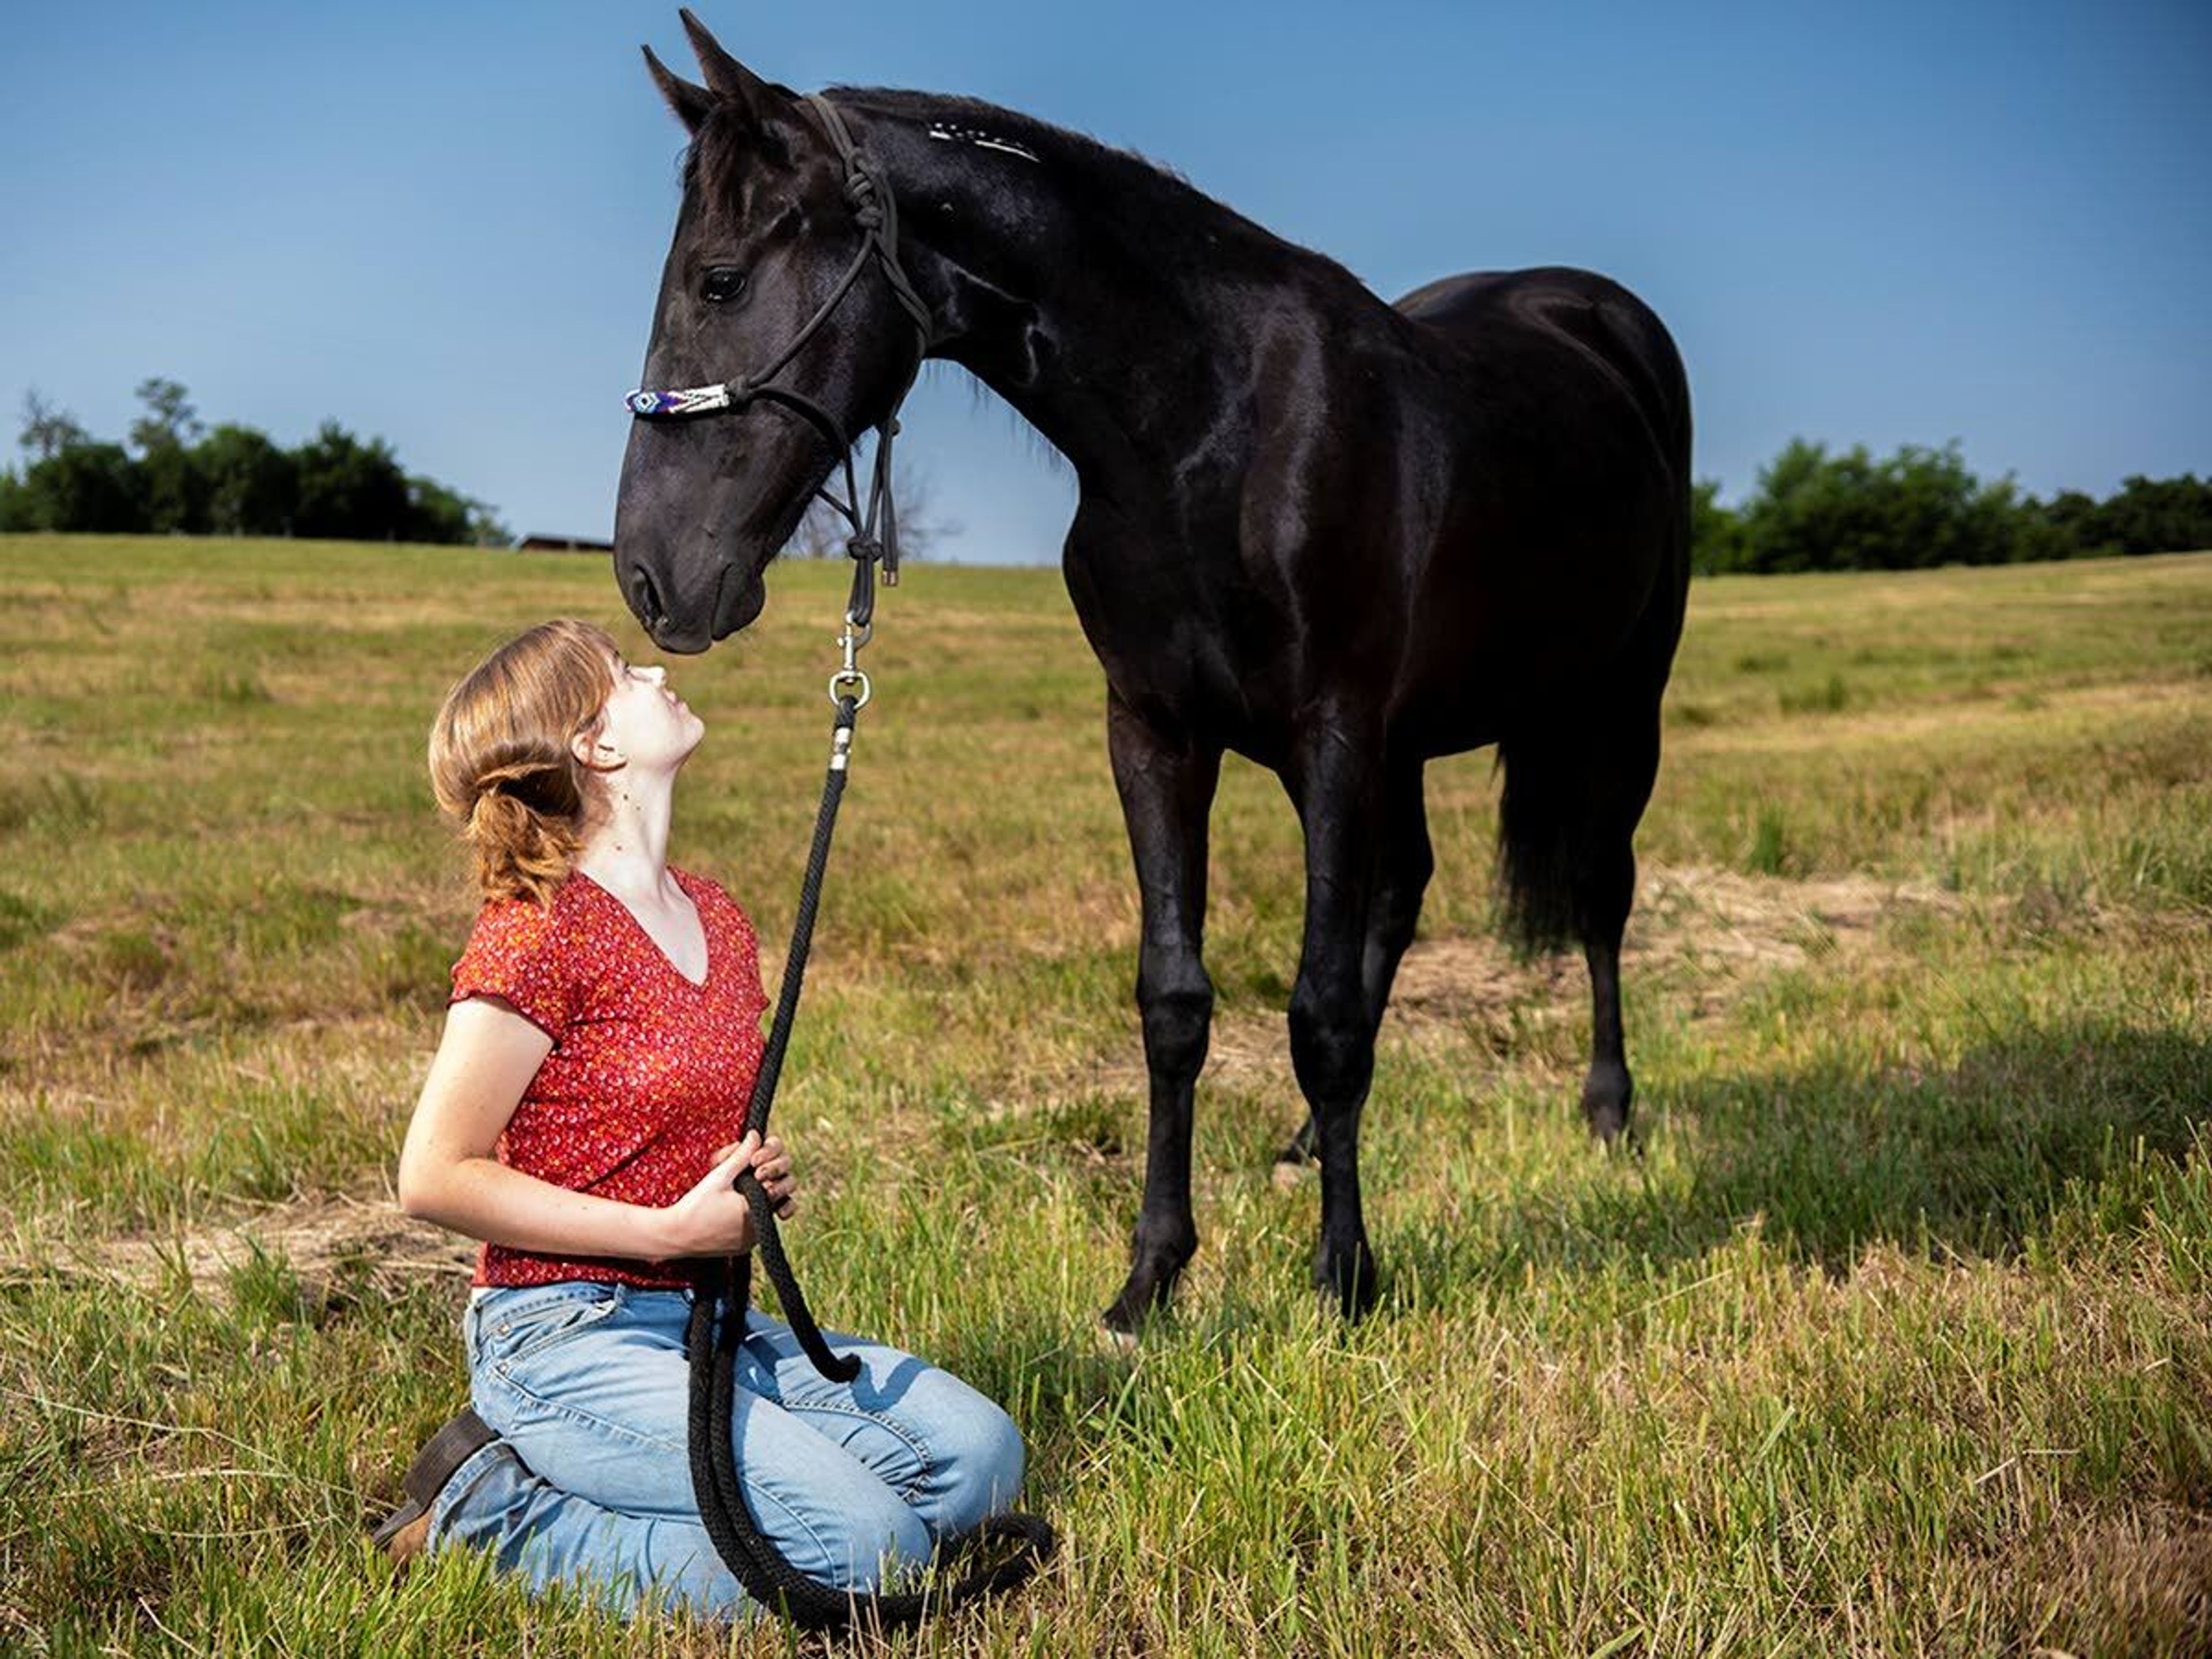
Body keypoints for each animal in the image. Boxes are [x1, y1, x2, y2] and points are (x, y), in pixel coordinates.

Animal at [623, 16, 1690, 1336]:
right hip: (1411, 749)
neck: (1210, 431)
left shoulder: (1334, 738)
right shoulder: (1155, 736)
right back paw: (1303, 1143)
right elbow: (1176, 1003)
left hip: (1618, 701)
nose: (651, 577)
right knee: (1404, 899)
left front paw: (1344, 1277)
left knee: (1597, 892)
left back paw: (1607, 1111)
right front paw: (1151, 1281)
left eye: (719, 280)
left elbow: (1321, 1014)